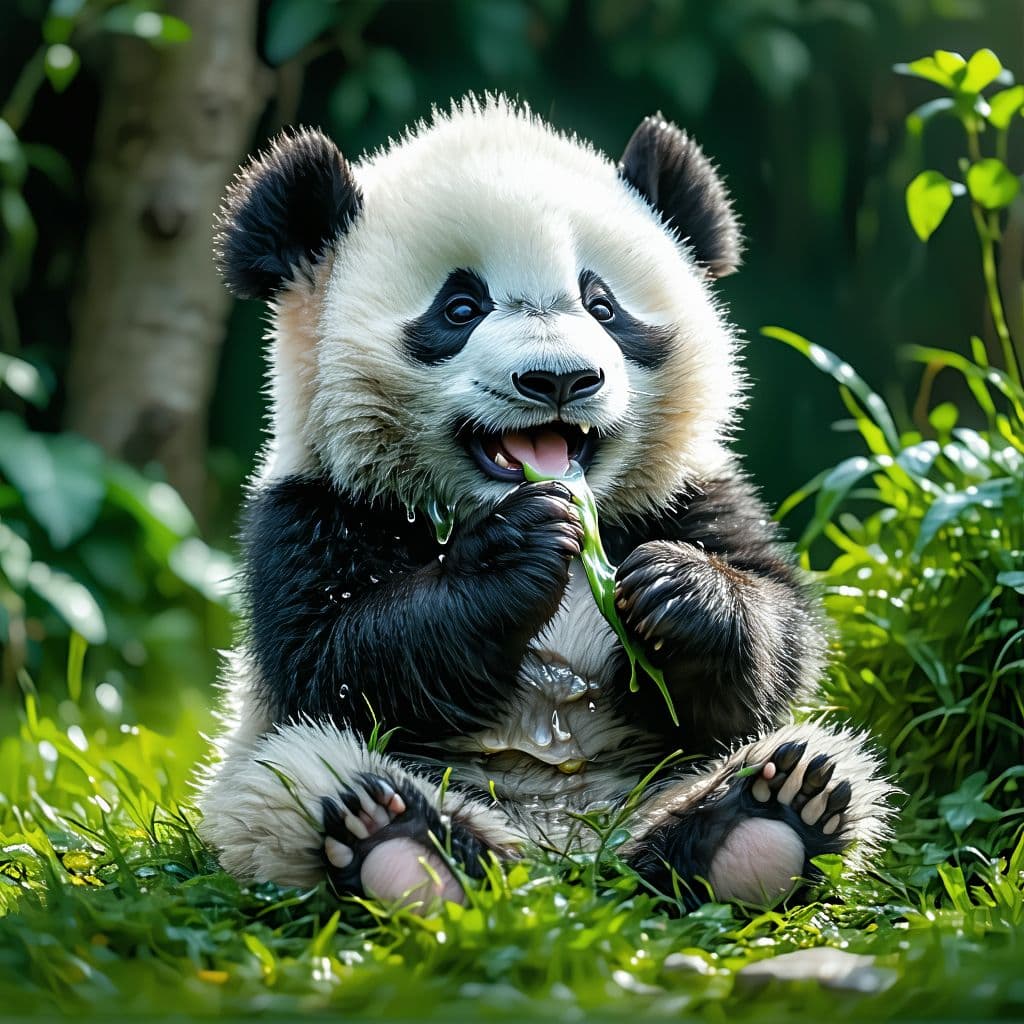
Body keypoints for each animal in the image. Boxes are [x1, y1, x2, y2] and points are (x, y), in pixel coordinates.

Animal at [196, 96, 894, 911]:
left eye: (603, 305)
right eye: (460, 308)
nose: (559, 378)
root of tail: (562, 854)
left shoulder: (693, 495)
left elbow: (774, 646)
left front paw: (680, 588)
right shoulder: (314, 506)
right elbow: (331, 659)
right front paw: (514, 555)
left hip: (658, 782)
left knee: (808, 763)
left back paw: (765, 821)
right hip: (285, 779)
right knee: (298, 781)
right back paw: (400, 847)